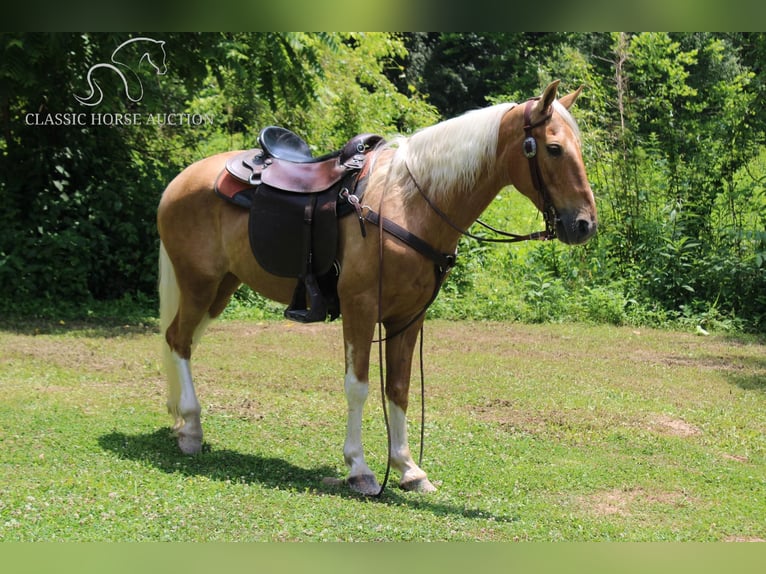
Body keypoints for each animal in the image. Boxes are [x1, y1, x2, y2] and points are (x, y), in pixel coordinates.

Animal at [158, 80, 600, 496]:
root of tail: (181, 179)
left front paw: (408, 469)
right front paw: (360, 468)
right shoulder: (360, 308)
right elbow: (358, 387)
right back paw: (192, 429)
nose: (584, 224)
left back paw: (179, 420)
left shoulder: (408, 318)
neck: (410, 204)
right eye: (554, 148)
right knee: (178, 340)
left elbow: (398, 389)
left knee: (183, 340)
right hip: (199, 283)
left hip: (221, 288)